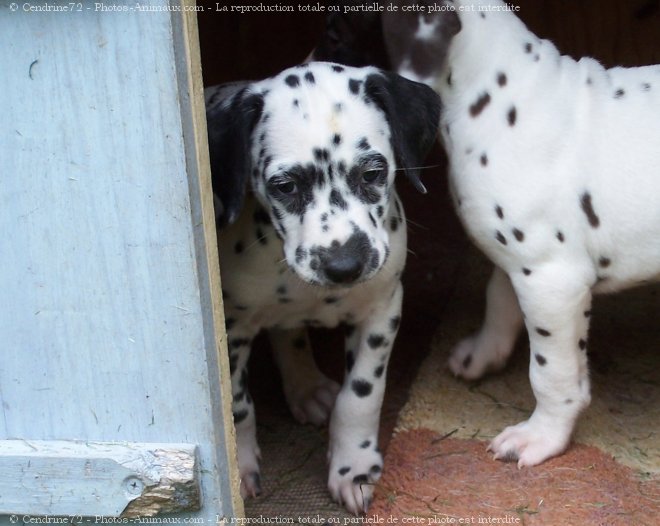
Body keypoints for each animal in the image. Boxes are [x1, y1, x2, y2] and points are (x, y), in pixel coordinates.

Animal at [206, 62, 440, 516]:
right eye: (285, 186)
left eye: (372, 173)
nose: (344, 266)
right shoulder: (231, 324)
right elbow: (236, 405)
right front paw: (239, 467)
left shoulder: (382, 308)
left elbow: (361, 395)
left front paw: (354, 468)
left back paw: (308, 387)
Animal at [382, 1, 660, 470]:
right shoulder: (517, 261)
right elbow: (498, 300)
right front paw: (482, 353)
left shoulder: (552, 281)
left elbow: (551, 372)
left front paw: (542, 436)